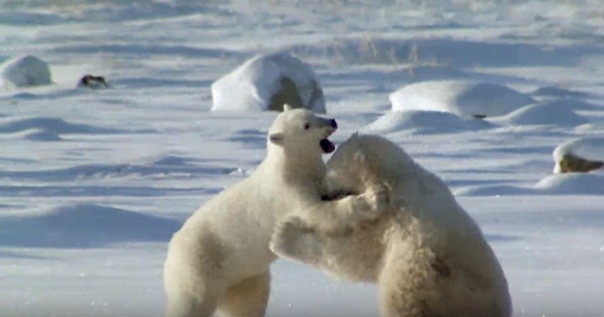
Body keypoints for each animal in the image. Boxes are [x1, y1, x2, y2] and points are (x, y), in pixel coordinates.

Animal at [162, 107, 386, 316]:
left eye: (313, 113)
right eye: (306, 126)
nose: (332, 121)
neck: (290, 167)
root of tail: (171, 249)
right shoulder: (288, 192)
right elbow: (317, 212)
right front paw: (373, 199)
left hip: (245, 276)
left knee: (248, 303)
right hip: (199, 265)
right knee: (192, 301)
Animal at [272, 133, 512, 316]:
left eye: (329, 172)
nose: (320, 193)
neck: (396, 179)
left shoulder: (394, 219)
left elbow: (355, 256)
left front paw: (283, 234)